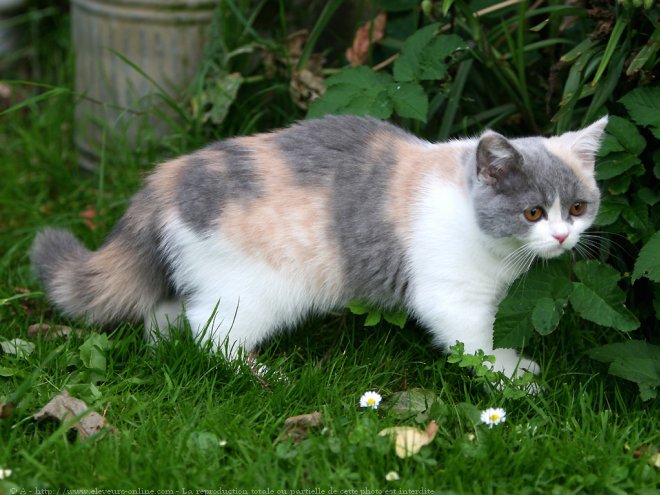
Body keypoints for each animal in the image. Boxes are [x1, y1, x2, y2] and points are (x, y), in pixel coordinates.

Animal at [31, 116, 608, 378]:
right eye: (533, 213)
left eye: (578, 207)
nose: (562, 236)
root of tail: (164, 179)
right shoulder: (452, 299)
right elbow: (479, 346)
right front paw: (514, 381)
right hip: (255, 291)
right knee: (210, 334)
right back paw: (261, 375)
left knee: (167, 317)